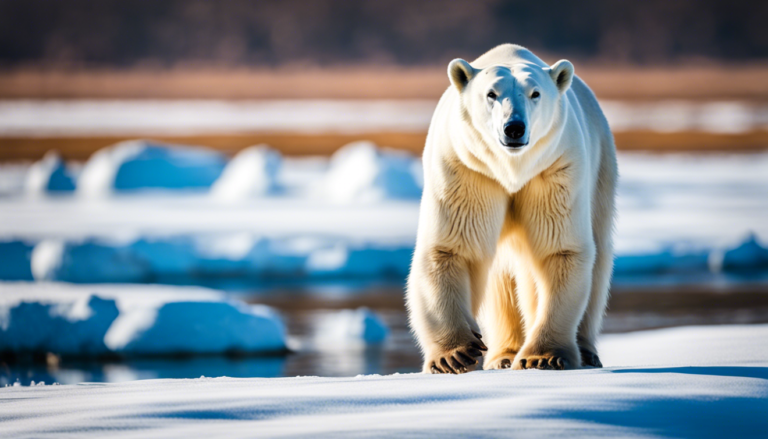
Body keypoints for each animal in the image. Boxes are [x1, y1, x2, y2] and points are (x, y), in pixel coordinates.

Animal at [408, 43, 616, 374]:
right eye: (491, 93)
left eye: (535, 93)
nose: (514, 128)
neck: (511, 170)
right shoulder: (467, 169)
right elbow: (453, 247)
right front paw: (454, 355)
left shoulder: (556, 168)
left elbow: (558, 249)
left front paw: (543, 356)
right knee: (500, 278)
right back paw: (503, 355)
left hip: (601, 167)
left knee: (597, 257)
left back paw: (586, 351)